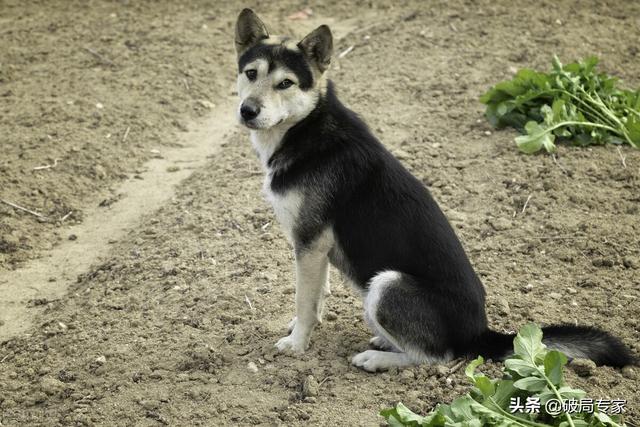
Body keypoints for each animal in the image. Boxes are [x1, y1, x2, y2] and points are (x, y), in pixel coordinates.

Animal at [234, 9, 636, 372]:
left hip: (387, 284)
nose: (247, 110)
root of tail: (479, 334)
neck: (307, 127)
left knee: (438, 357)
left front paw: (296, 344)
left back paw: (378, 358)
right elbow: (316, 296)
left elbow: (305, 301)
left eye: (286, 84)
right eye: (250, 74)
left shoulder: (310, 243)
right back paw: (385, 340)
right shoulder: (315, 248)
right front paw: (302, 329)